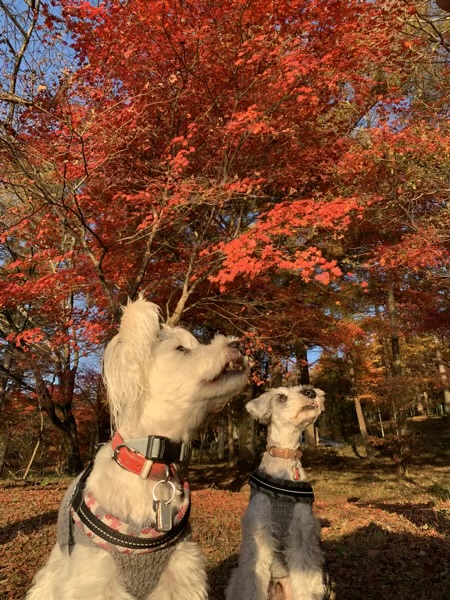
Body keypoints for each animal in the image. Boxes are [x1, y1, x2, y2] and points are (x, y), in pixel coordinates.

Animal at [226, 385, 328, 600]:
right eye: (281, 396)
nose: (311, 392)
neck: (285, 457)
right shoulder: (259, 531)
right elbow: (254, 580)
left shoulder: (301, 533)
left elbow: (304, 579)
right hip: (235, 580)